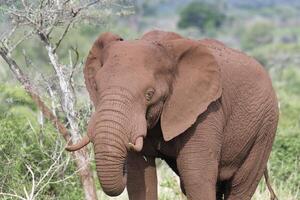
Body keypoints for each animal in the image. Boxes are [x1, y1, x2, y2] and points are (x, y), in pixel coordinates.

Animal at [66, 30, 278, 200]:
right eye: (97, 87)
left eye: (149, 94)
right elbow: (139, 177)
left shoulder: (206, 111)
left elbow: (197, 177)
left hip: (265, 128)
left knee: (240, 186)